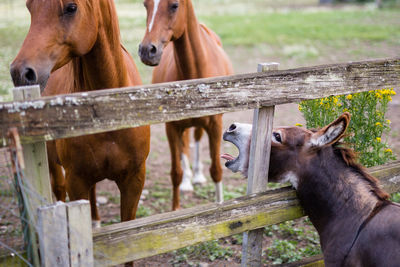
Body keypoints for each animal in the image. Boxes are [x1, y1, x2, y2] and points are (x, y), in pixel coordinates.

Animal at [9, 0, 150, 228]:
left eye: (71, 7)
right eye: (29, 7)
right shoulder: (76, 181)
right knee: (59, 189)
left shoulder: (134, 181)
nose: (20, 72)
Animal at [138, 0, 233, 210]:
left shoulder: (216, 125)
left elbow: (216, 170)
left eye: (174, 5)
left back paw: (196, 175)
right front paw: (175, 209)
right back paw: (189, 180)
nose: (147, 50)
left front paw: (220, 205)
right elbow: (176, 172)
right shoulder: (172, 127)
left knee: (195, 139)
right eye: (146, 5)